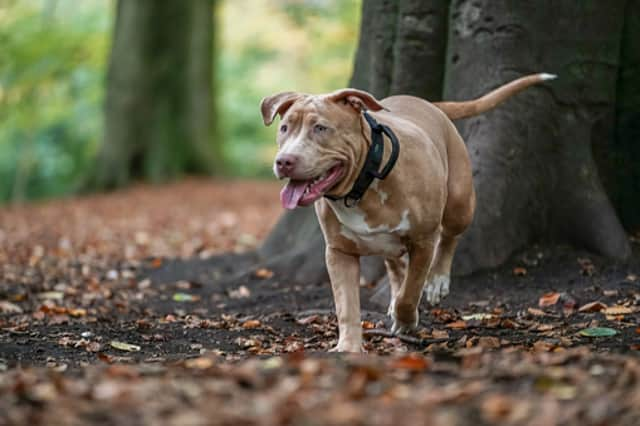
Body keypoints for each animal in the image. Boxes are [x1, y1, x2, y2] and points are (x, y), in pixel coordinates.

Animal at [260, 74, 556, 352]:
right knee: (395, 267)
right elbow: (346, 306)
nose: (284, 161)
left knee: (449, 239)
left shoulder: (424, 240)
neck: (363, 183)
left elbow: (411, 291)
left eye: (321, 128)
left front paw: (406, 321)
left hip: (460, 204)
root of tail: (431, 105)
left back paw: (437, 281)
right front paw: (348, 347)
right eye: (284, 128)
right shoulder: (338, 252)